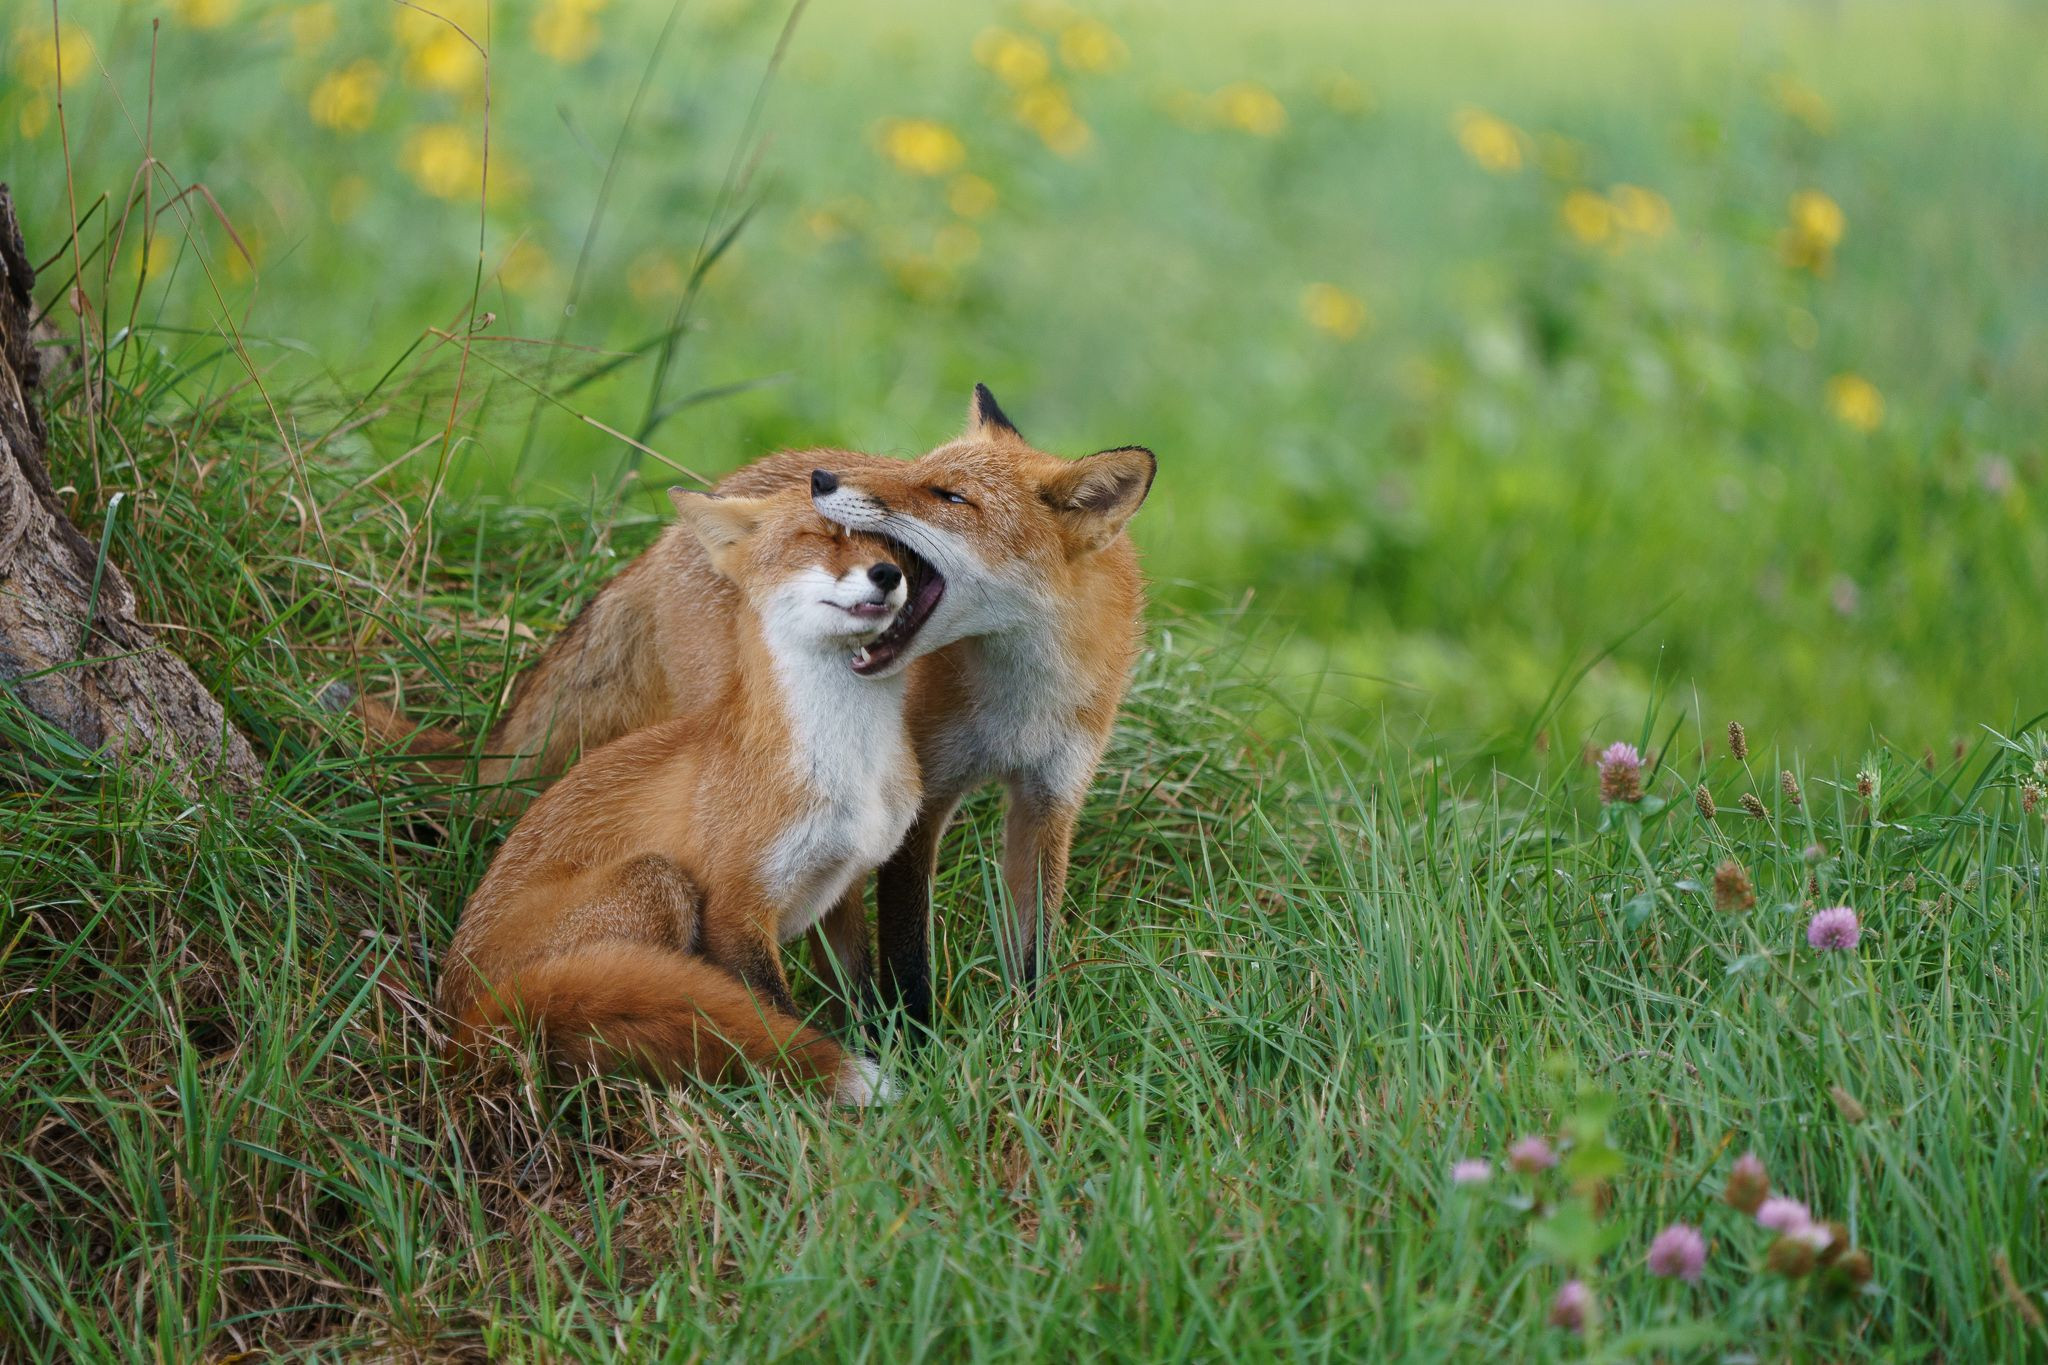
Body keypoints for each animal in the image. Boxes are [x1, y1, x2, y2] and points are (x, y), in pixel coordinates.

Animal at [356, 385, 1153, 1032]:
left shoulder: (1050, 796)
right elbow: (906, 953)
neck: (1019, 702)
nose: (825, 481)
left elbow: (1033, 947)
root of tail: (675, 529)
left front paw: (1033, 1042)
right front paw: (916, 1045)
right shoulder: (924, 802)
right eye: (915, 468)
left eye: (949, 496)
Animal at [439, 487, 918, 1102]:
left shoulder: (842, 888)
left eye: (894, 549)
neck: (850, 767)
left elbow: (857, 999)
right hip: (657, 882)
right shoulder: (735, 908)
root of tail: (462, 1022)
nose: (886, 575)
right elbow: (775, 1013)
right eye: (818, 537)